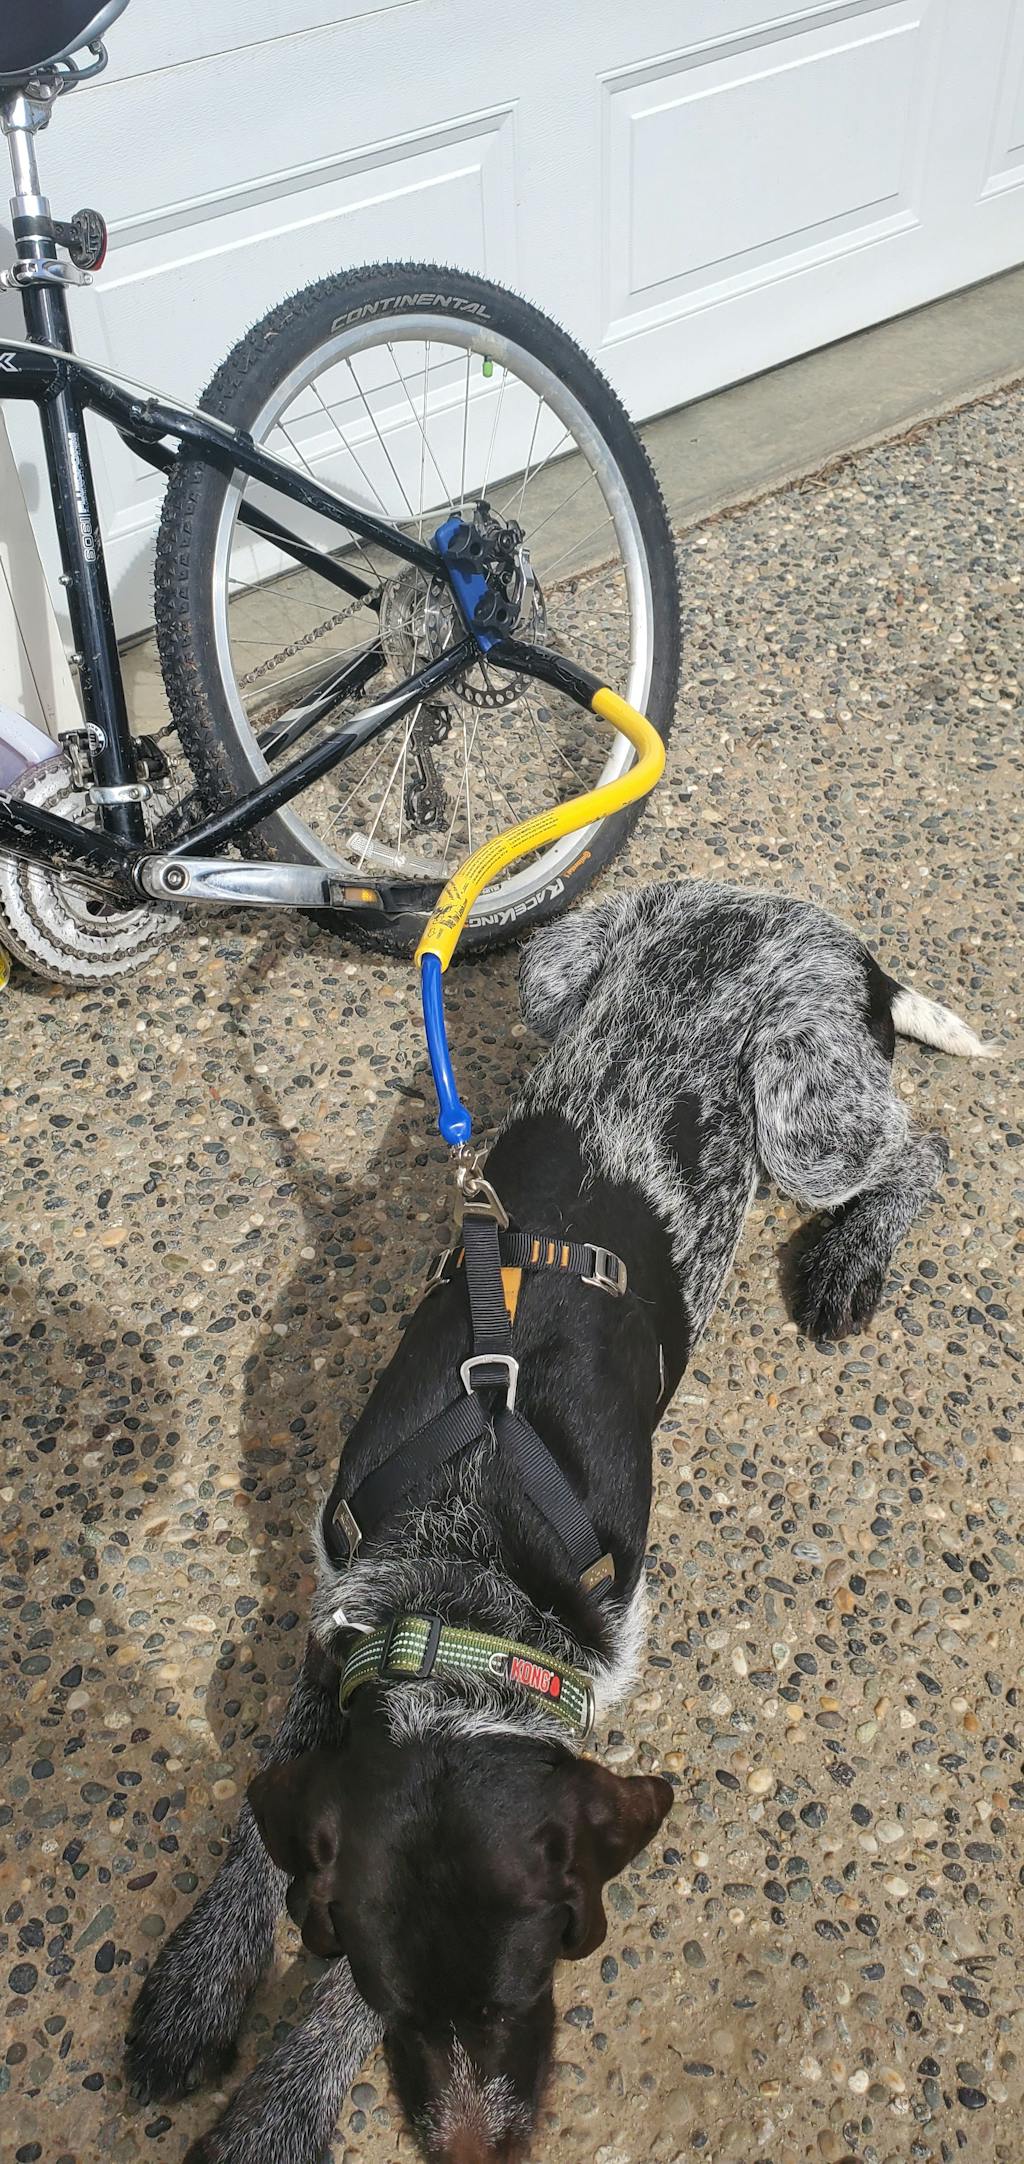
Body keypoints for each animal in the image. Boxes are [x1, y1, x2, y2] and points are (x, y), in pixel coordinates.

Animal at [123, 882, 987, 2164]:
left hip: (802, 1107)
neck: (467, 1559)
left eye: (523, 1977)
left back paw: (850, 1255)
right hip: (548, 971)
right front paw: (197, 1982)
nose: (487, 2127)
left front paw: (278, 2109)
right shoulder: (333, 1613)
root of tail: (795, 909)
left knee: (920, 1143)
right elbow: (252, 1818)